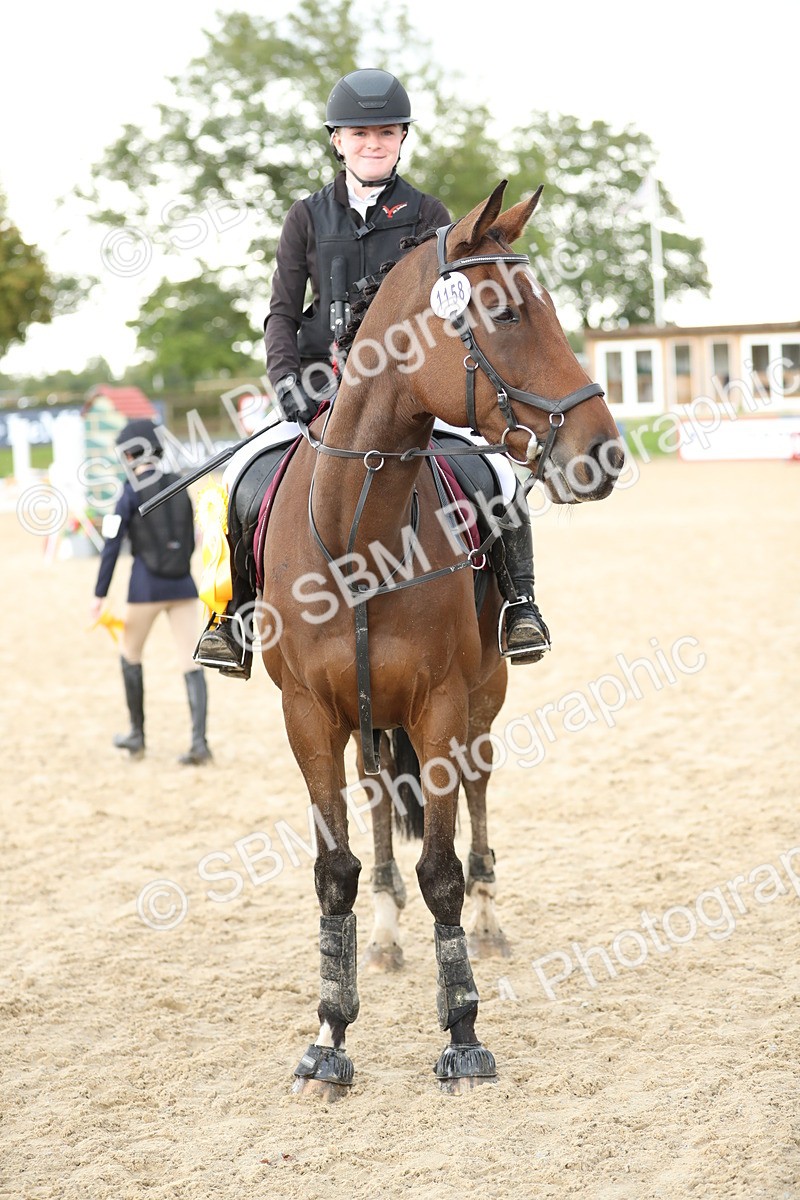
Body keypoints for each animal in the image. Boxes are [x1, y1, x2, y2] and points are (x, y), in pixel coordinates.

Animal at [257, 180, 623, 1096]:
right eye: (503, 312)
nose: (604, 453)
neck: (360, 533)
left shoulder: (442, 707)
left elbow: (444, 873)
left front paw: (462, 1032)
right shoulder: (309, 717)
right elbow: (336, 874)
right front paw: (329, 1036)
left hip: (482, 701)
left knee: (481, 797)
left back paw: (490, 921)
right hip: (367, 724)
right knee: (380, 801)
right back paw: (386, 934)